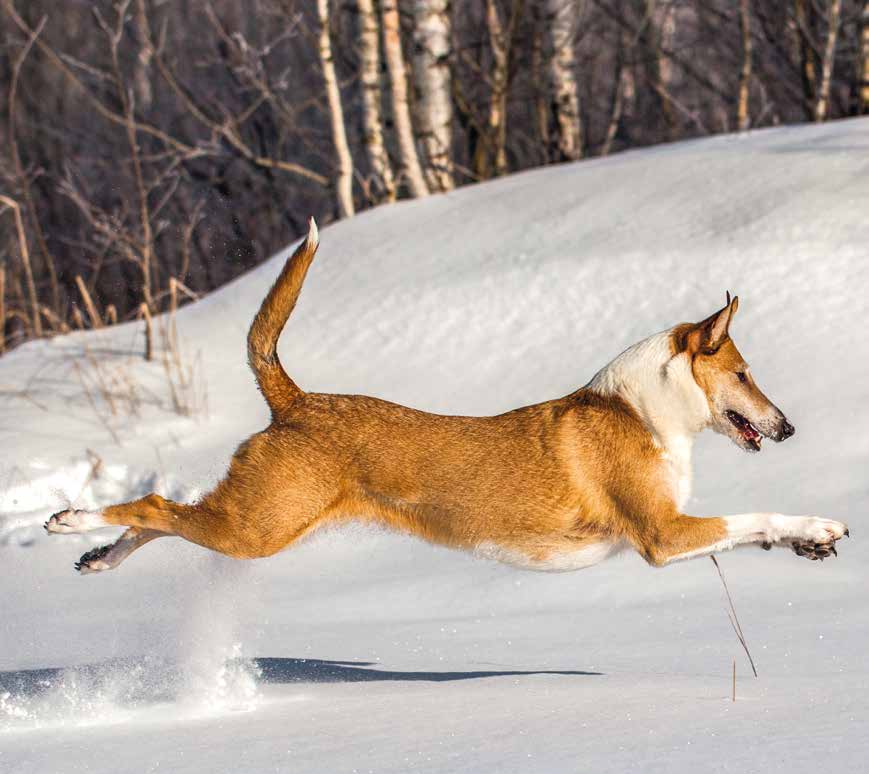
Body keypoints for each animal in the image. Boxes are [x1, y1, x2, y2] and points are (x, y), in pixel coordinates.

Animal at [45, 220, 848, 576]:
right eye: (744, 372)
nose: (787, 427)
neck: (646, 413)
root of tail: (294, 400)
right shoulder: (662, 533)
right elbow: (752, 514)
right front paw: (818, 521)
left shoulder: (674, 532)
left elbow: (752, 530)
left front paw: (808, 541)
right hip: (256, 526)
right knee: (157, 506)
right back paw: (72, 520)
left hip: (260, 522)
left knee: (166, 517)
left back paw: (101, 556)